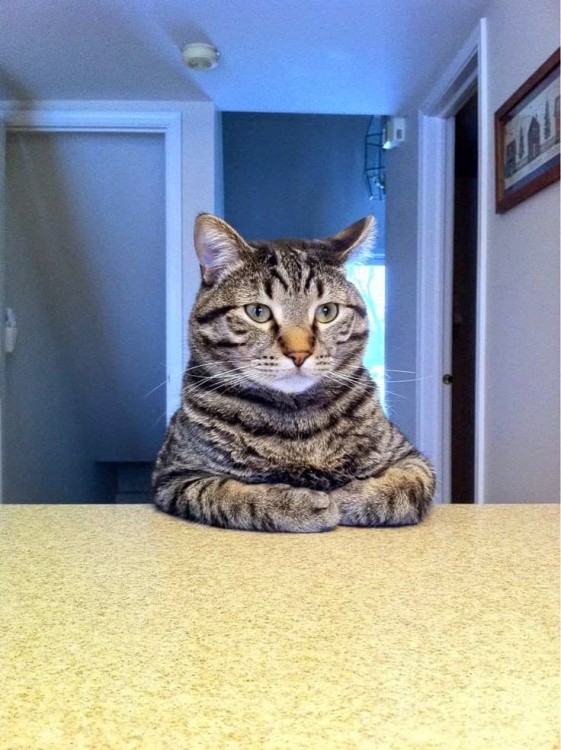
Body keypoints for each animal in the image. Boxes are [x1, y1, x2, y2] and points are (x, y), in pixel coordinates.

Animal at [152, 213, 434, 536]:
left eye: (327, 311)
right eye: (258, 312)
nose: (299, 353)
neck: (299, 424)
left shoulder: (410, 458)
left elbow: (404, 489)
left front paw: (348, 495)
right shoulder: (176, 475)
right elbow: (229, 495)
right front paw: (300, 503)